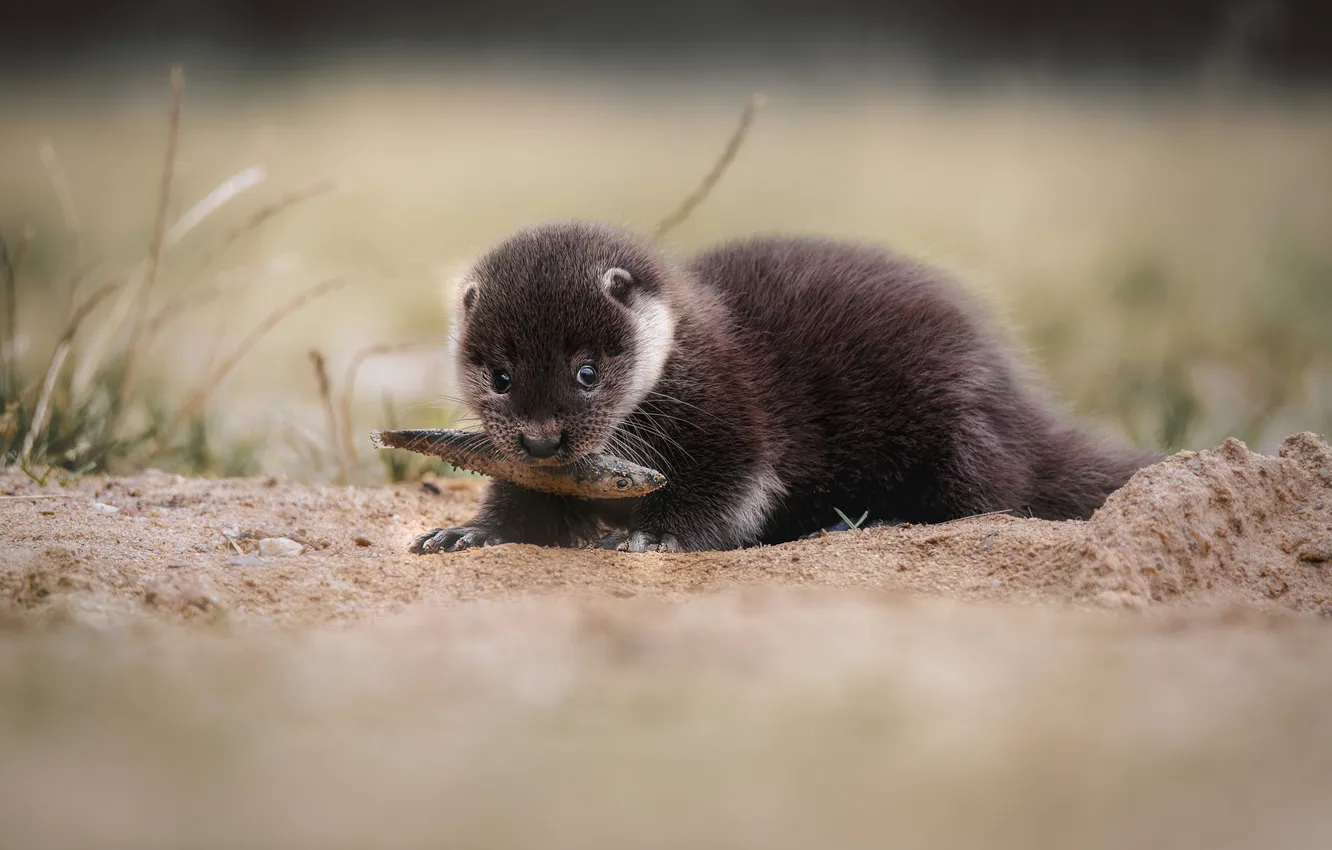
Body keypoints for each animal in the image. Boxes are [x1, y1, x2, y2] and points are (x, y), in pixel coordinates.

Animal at [411, 220, 1159, 554]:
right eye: (501, 377)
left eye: (586, 372)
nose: (541, 442)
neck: (690, 350)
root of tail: (1021, 406)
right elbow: (525, 506)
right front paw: (469, 532)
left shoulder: (731, 417)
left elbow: (728, 492)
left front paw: (653, 535)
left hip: (954, 419)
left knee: (986, 493)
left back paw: (877, 521)